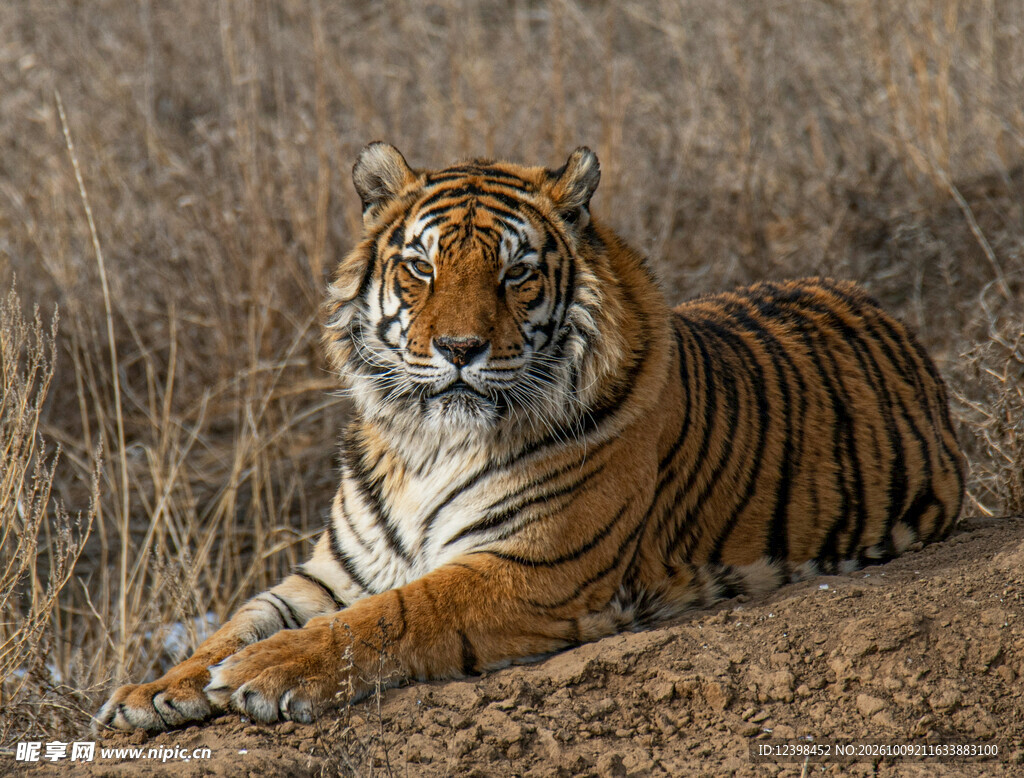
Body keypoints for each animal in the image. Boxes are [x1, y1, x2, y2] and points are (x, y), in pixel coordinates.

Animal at [96, 143, 965, 732]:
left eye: (515, 273)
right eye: (421, 267)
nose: (459, 348)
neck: (426, 443)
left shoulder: (530, 568)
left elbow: (389, 616)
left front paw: (265, 672)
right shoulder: (332, 572)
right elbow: (240, 618)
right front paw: (154, 689)